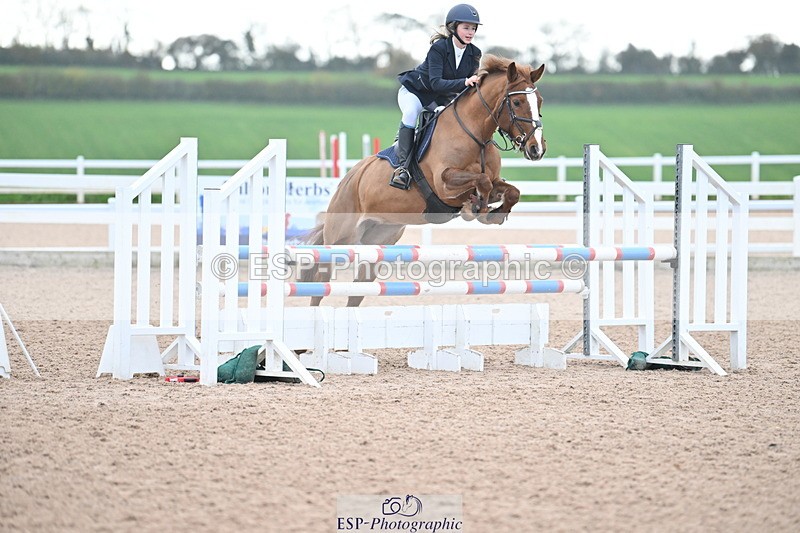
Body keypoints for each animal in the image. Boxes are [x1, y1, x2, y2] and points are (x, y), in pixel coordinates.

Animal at [300, 54, 547, 307]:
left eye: (539, 101)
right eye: (516, 102)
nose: (537, 149)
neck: (476, 135)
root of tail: (348, 179)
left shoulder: (493, 181)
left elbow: (509, 190)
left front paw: (492, 213)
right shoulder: (444, 184)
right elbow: (482, 182)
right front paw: (476, 208)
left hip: (379, 239)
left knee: (357, 291)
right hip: (340, 238)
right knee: (320, 283)